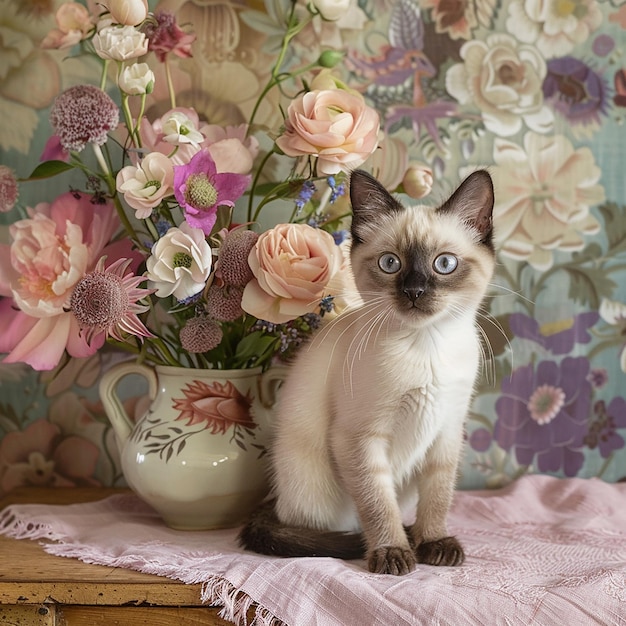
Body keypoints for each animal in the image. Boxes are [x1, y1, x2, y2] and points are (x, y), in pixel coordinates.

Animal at [236, 167, 494, 576]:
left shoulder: (448, 431)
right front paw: (392, 552)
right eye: (390, 264)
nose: (415, 291)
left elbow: (438, 497)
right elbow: (377, 504)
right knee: (325, 525)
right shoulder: (359, 439)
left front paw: (433, 542)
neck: (426, 345)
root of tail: (275, 500)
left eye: (444, 264)